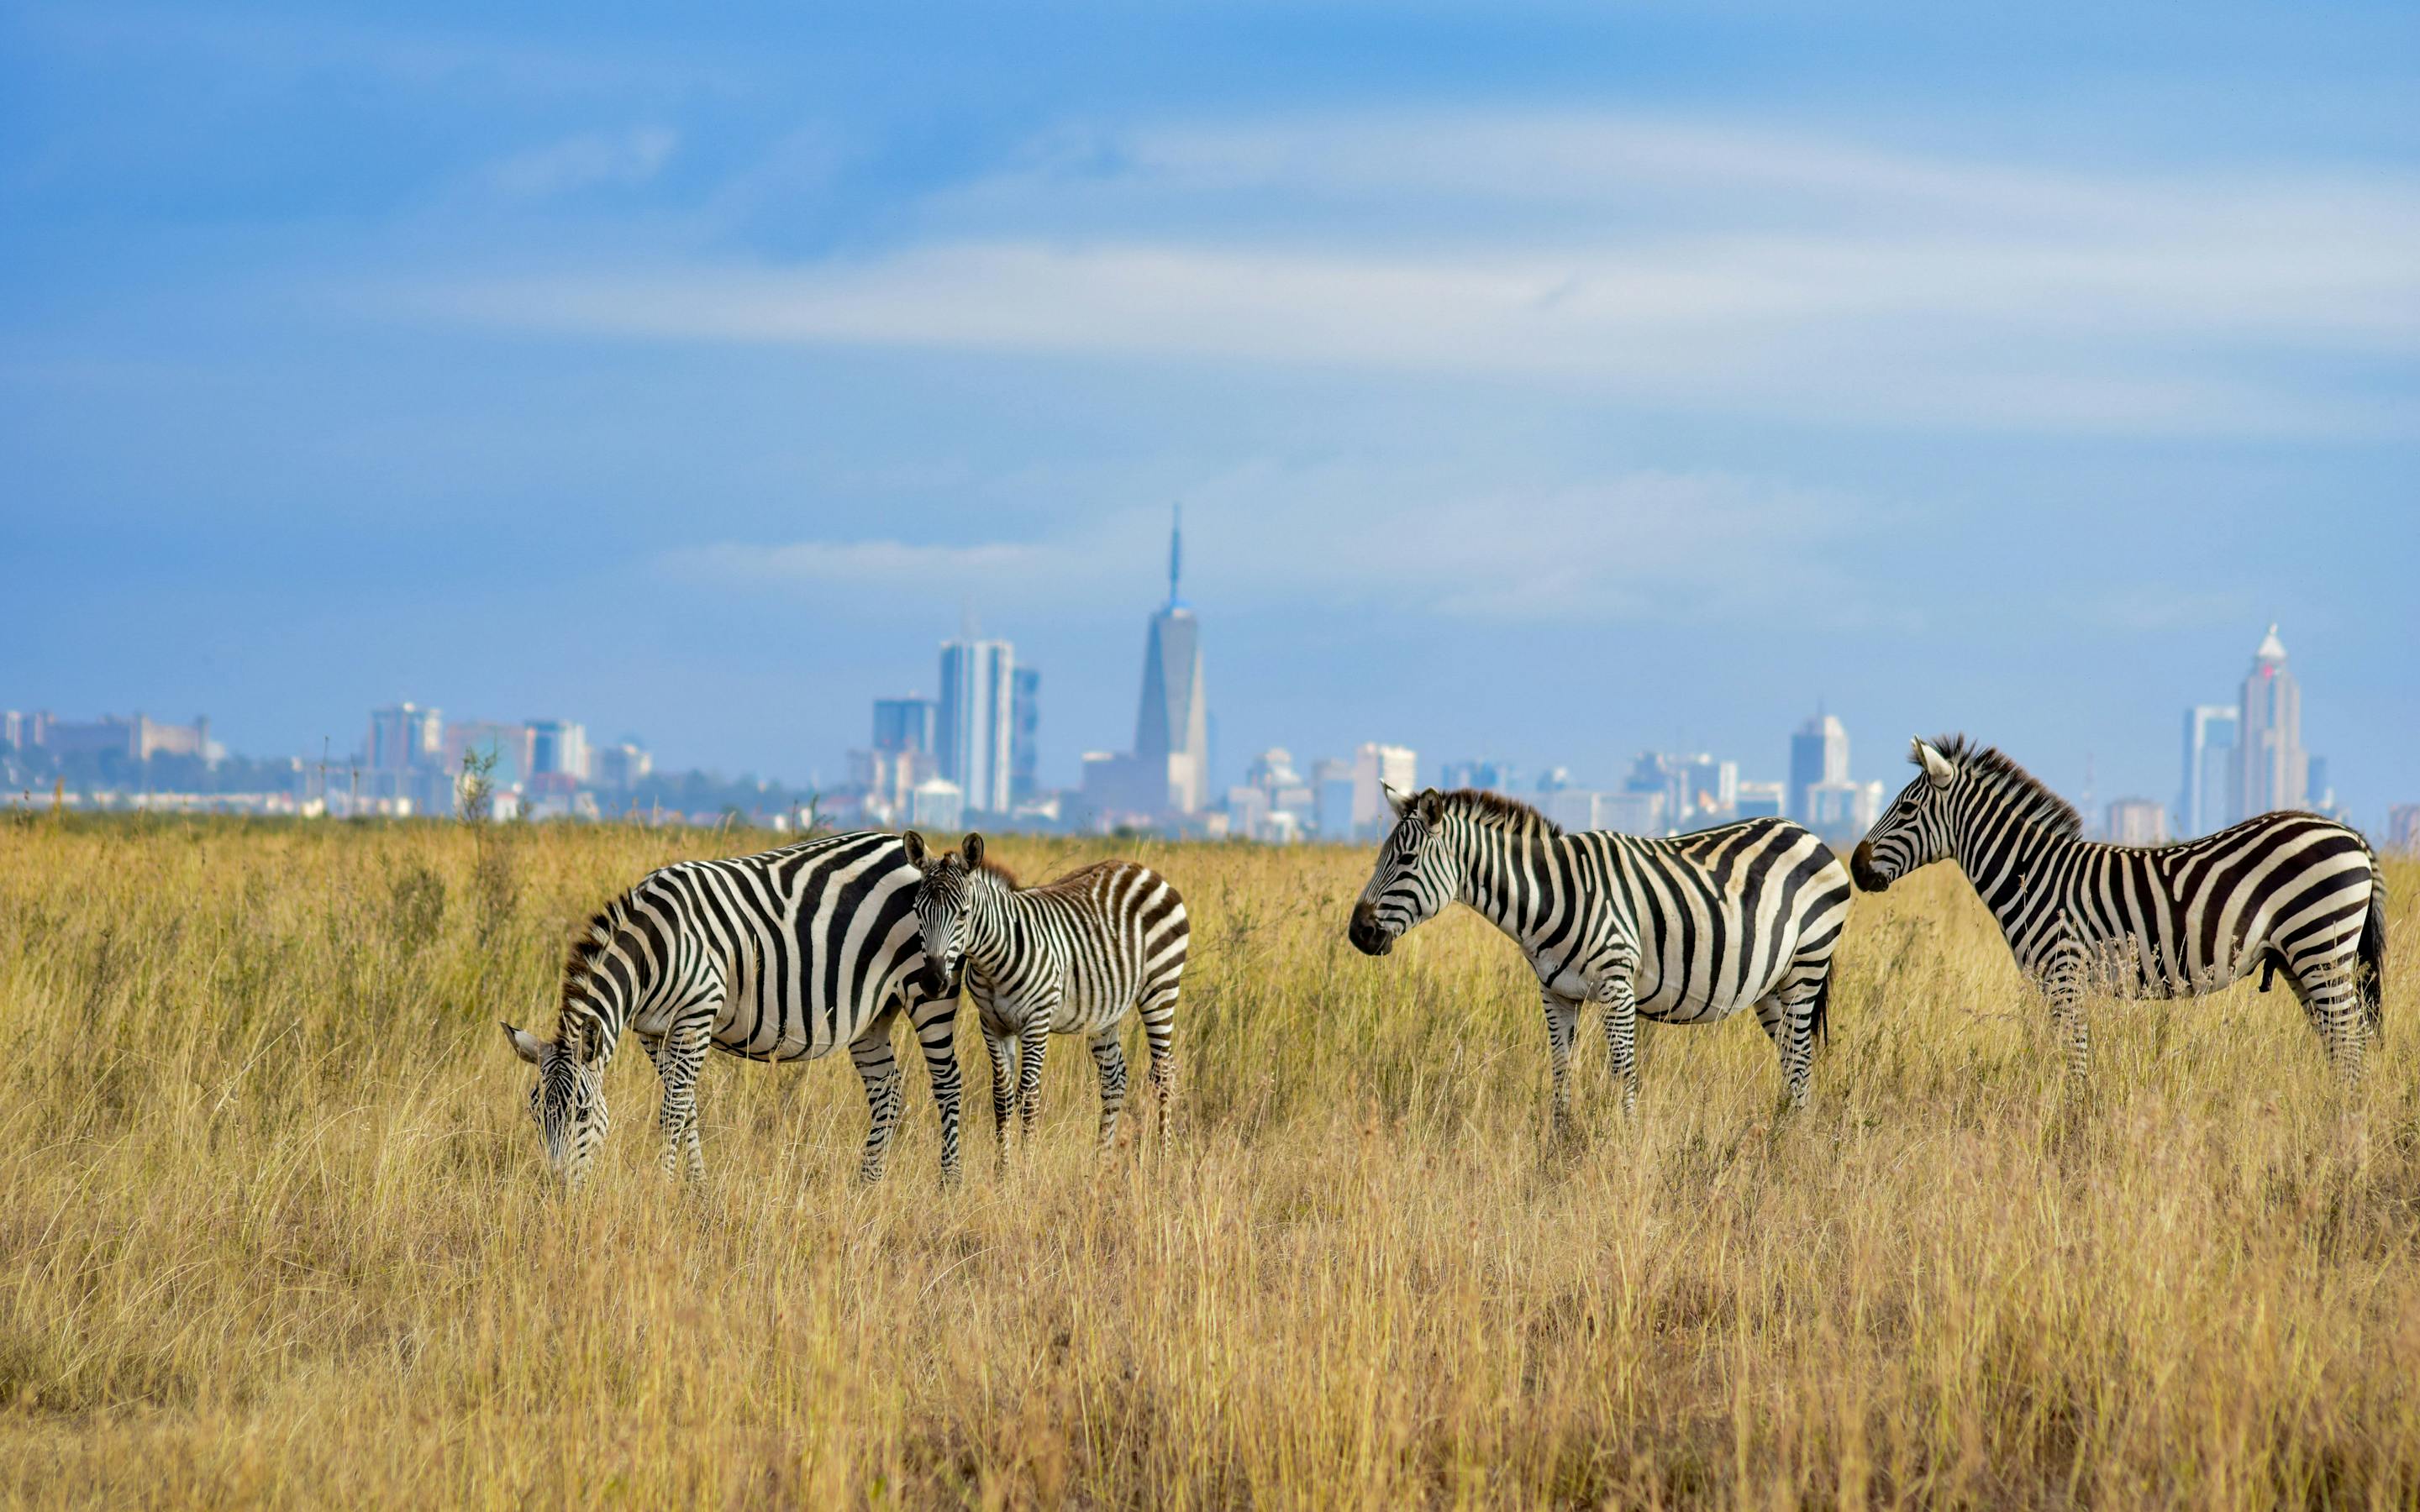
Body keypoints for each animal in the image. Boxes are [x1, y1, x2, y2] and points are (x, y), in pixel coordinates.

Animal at [499, 830, 963, 1187]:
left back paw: (949, 1185)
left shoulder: (696, 1015)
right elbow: (687, 1108)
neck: (651, 950)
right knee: (888, 1090)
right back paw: (867, 1185)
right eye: (535, 1113)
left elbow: (673, 1110)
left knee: (947, 1083)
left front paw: (664, 1189)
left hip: (928, 989)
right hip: (873, 1013)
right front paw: (697, 1188)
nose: (558, 1190)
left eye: (582, 1112)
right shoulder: (652, 1032)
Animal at [902, 830, 1186, 1159]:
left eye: (963, 914)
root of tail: (1142, 869)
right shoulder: (992, 1025)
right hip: (1106, 1010)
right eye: (917, 911)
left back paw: (1163, 1158)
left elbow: (1027, 1097)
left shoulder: (1036, 1023)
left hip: (1160, 987)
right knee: (1114, 1079)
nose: (933, 982)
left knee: (1164, 1074)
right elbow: (1001, 1097)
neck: (992, 960)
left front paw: (1026, 1166)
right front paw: (1003, 1167)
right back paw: (1101, 1159)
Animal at [1346, 787, 1854, 1124]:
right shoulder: (1555, 994)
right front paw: (1558, 1148)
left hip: (1807, 965)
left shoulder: (1617, 985)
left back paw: (1794, 1144)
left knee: (1802, 1060)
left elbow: (1622, 1073)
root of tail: (1807, 833)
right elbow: (1560, 1073)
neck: (1550, 897)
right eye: (1380, 857)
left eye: (1406, 861)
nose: (1358, 933)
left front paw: (1624, 1149)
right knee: (1791, 1060)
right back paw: (1785, 1133)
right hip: (1771, 986)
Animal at [1852, 734, 2388, 1080]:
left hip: (2319, 944)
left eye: (1906, 809)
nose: (1856, 867)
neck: (2032, 874)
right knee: (2341, 1041)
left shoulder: (2064, 974)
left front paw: (2072, 1123)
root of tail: (2352, 835)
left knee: (2350, 1040)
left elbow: (2074, 1058)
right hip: (2302, 958)